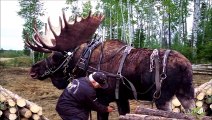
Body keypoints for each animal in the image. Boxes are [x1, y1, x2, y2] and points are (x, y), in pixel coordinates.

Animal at [26, 11, 195, 119]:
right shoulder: (121, 98)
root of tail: (186, 65)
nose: (33, 69)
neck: (83, 61)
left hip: (162, 98)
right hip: (186, 93)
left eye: (55, 56)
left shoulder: (103, 99)